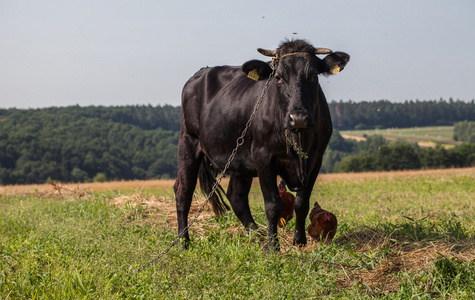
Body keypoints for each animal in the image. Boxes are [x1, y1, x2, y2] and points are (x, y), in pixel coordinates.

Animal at [175, 39, 350, 251]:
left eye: (314, 75)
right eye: (278, 77)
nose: (298, 118)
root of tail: (201, 72)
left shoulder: (316, 159)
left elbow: (302, 203)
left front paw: (299, 241)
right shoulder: (263, 156)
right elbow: (273, 205)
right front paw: (272, 246)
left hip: (239, 158)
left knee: (237, 196)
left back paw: (255, 234)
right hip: (188, 141)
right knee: (183, 192)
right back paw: (183, 242)